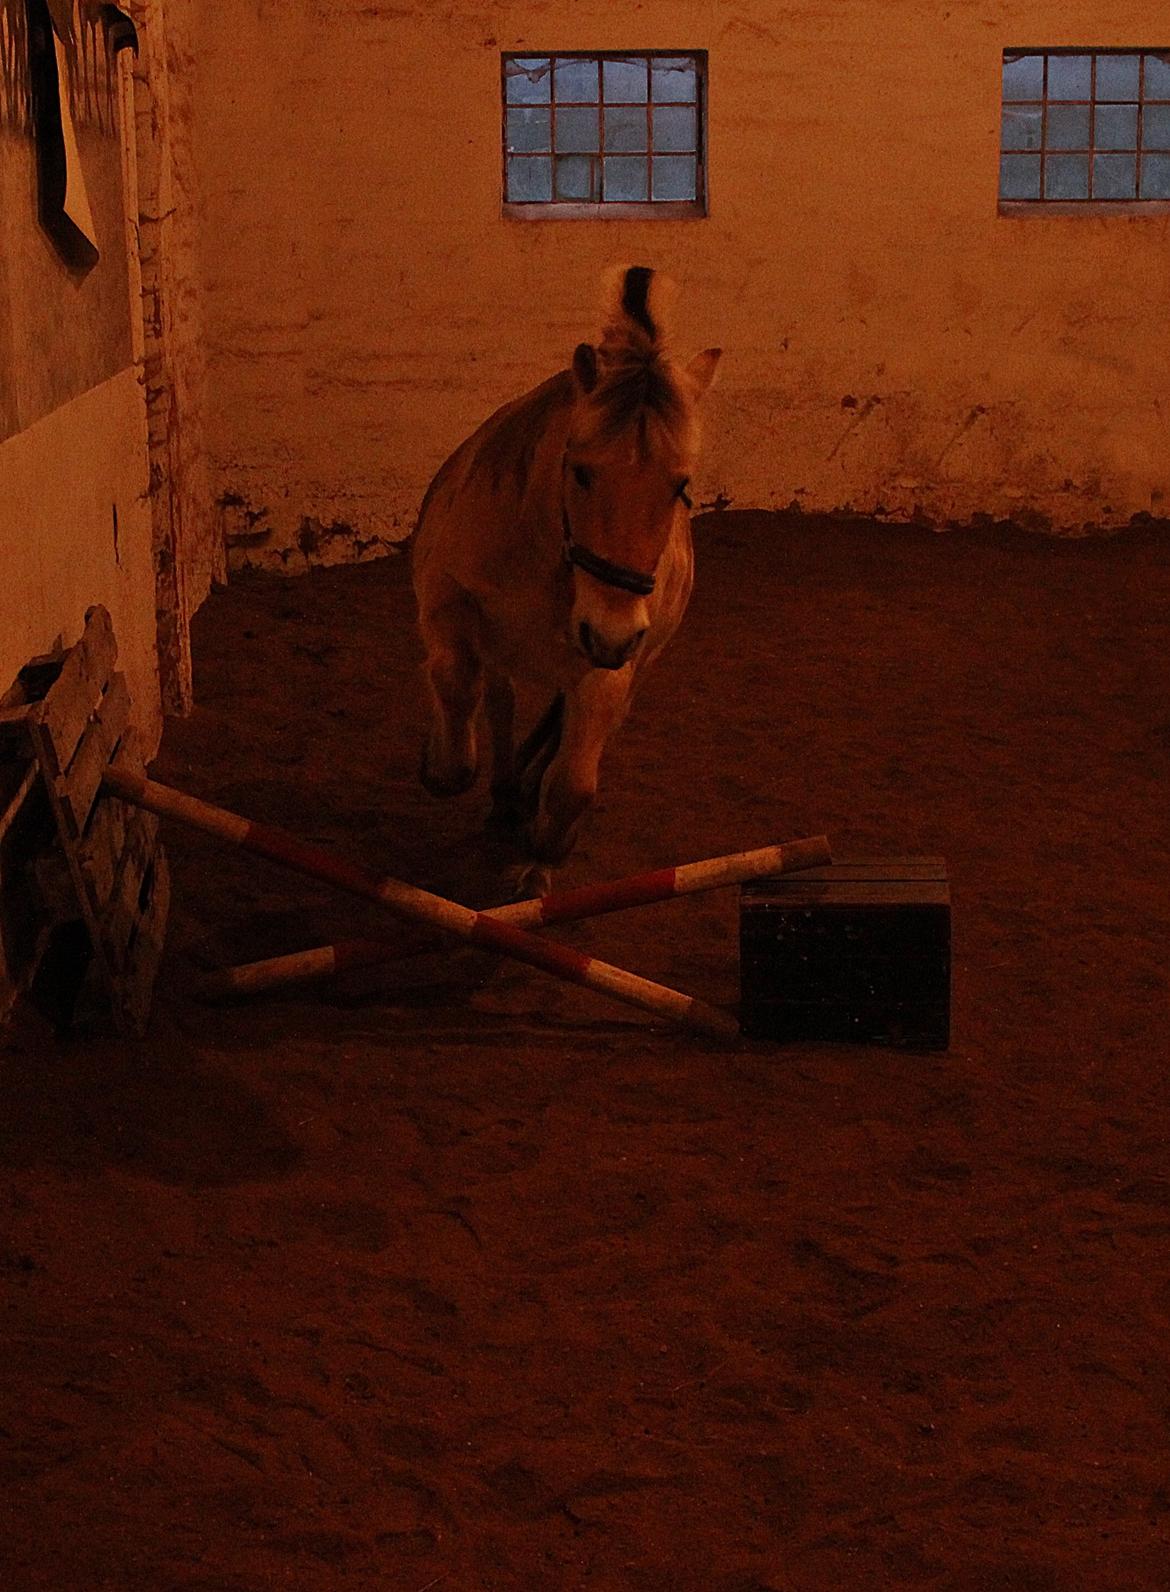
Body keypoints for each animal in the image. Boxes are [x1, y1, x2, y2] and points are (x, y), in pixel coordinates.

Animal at [410, 267, 722, 904]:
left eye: (680, 485)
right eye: (581, 471)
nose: (609, 632)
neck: (551, 562)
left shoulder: (611, 668)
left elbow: (573, 782)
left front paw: (542, 852)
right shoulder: (447, 599)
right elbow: (455, 681)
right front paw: (444, 767)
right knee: (500, 704)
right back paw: (505, 793)